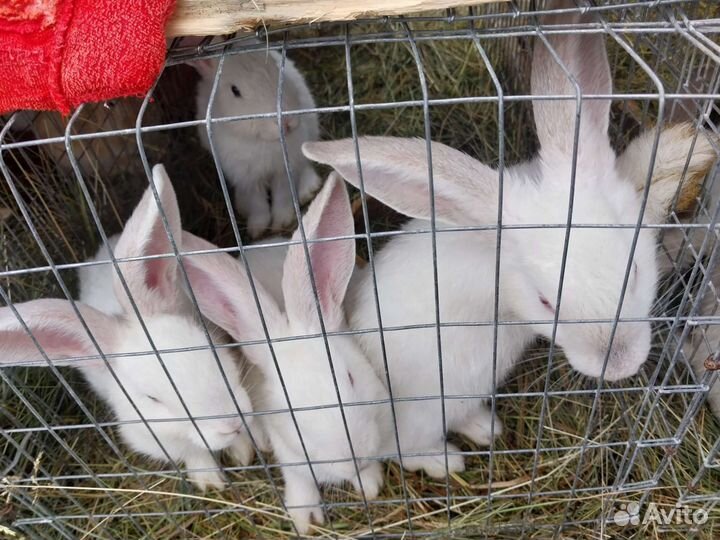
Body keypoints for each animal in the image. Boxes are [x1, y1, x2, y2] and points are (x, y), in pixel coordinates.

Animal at [0, 165, 255, 491]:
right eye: (152, 399)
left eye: (213, 353)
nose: (231, 424)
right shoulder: (152, 437)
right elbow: (192, 453)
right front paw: (210, 482)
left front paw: (243, 452)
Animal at [178, 173, 390, 534]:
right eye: (288, 407)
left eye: (350, 377)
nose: (353, 456)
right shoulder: (290, 454)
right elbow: (299, 481)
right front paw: (306, 521)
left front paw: (369, 485)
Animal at [193, 50, 322, 239]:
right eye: (235, 90)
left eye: (276, 67)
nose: (286, 122)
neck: (262, 141)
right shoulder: (247, 178)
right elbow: (257, 204)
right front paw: (257, 229)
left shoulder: (285, 170)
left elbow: (283, 195)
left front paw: (281, 222)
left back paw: (309, 189)